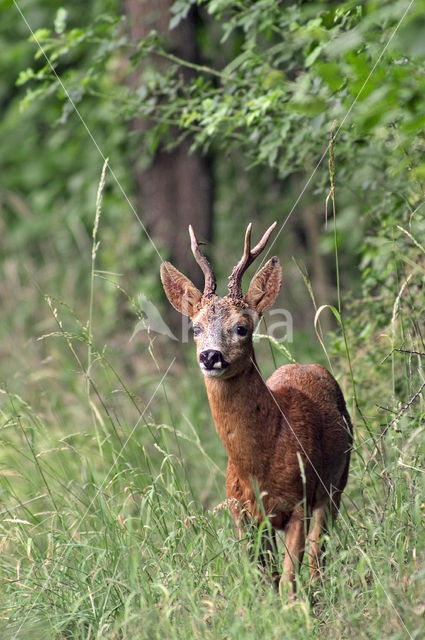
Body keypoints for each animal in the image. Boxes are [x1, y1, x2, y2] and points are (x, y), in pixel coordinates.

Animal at [159, 222, 352, 592]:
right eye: (195, 327)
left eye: (241, 327)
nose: (210, 356)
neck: (257, 464)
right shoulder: (242, 514)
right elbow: (268, 581)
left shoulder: (299, 503)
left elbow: (289, 580)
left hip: (337, 484)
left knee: (318, 557)